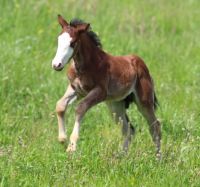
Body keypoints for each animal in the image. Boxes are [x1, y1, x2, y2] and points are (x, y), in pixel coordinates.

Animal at [51, 15, 161, 158]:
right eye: (58, 40)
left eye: (73, 43)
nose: (56, 64)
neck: (88, 64)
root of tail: (141, 64)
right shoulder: (76, 89)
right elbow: (60, 105)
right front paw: (62, 139)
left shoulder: (100, 92)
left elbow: (80, 108)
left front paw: (72, 147)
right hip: (115, 105)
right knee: (129, 130)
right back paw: (121, 157)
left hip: (144, 101)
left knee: (155, 127)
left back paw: (158, 158)